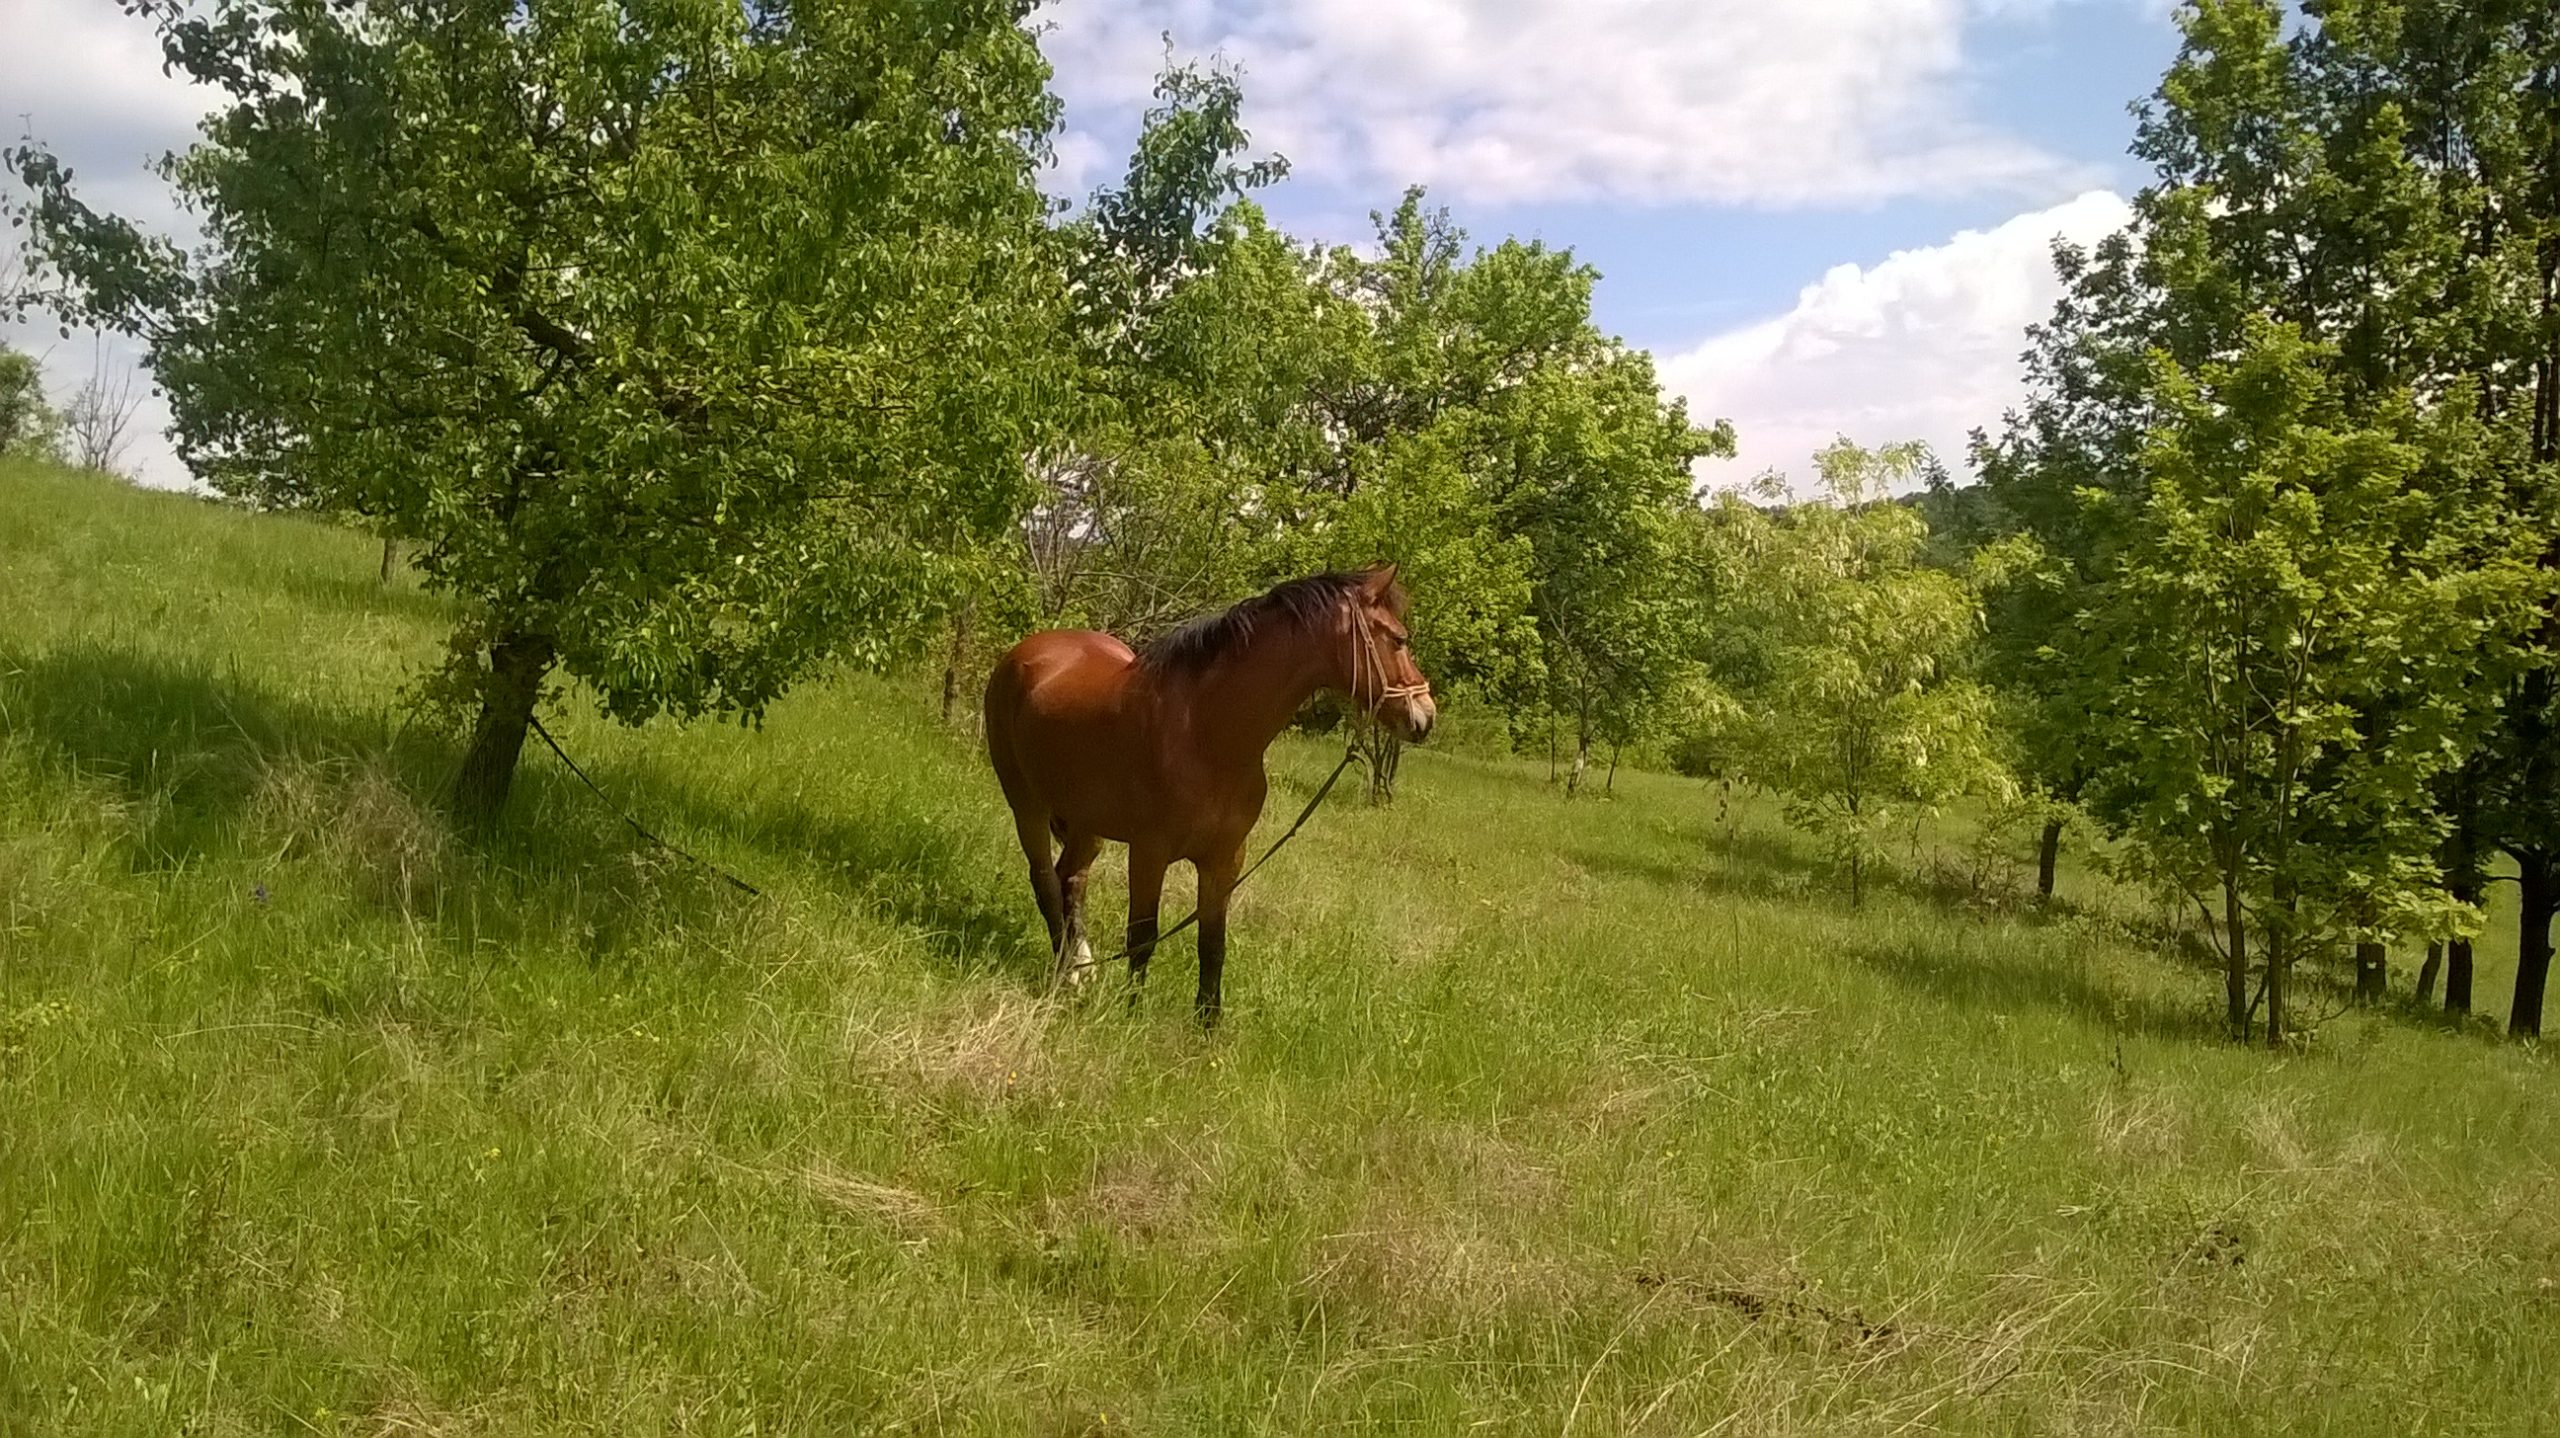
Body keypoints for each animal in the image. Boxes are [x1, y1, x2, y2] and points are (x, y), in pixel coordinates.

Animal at [983, 560, 1443, 1018]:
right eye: (1399, 639)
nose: (1425, 716)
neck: (1205, 733)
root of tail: (1026, 653)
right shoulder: (1149, 853)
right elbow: (1142, 939)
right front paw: (1130, 1017)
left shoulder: (1225, 858)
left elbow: (1212, 945)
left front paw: (1207, 1024)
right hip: (1028, 806)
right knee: (1045, 881)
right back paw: (1065, 974)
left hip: (1085, 824)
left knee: (1071, 880)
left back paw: (1081, 967)